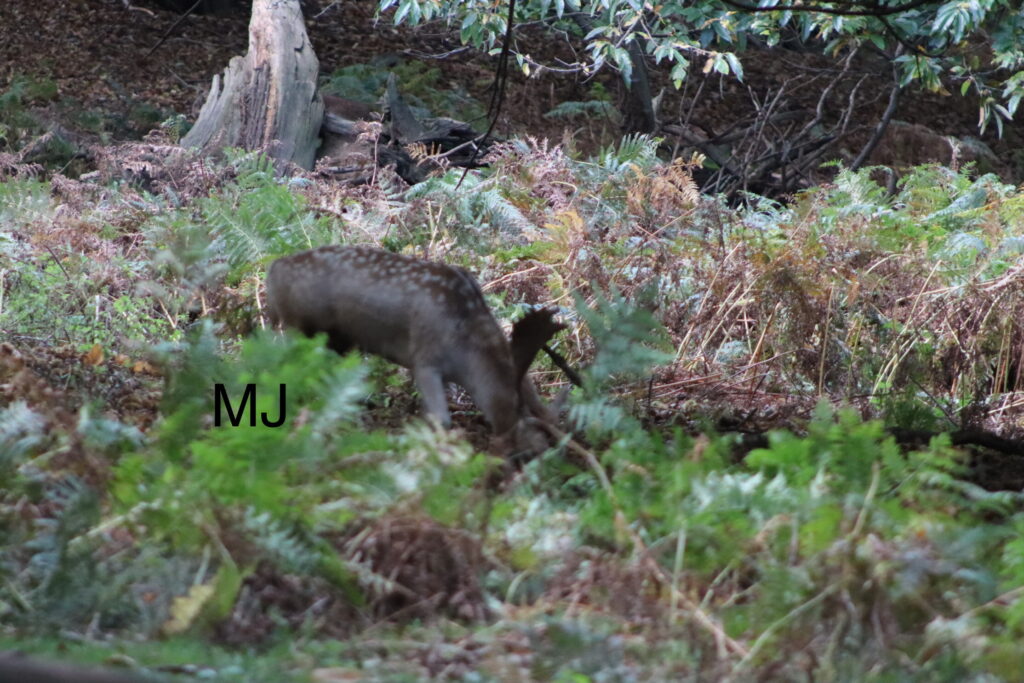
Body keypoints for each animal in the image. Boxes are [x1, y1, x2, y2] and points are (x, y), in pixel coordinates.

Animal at [265, 245, 564, 454]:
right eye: (522, 418)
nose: (543, 451)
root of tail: (271, 272)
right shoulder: (424, 360)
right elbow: (441, 420)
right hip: (295, 325)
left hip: (338, 340)